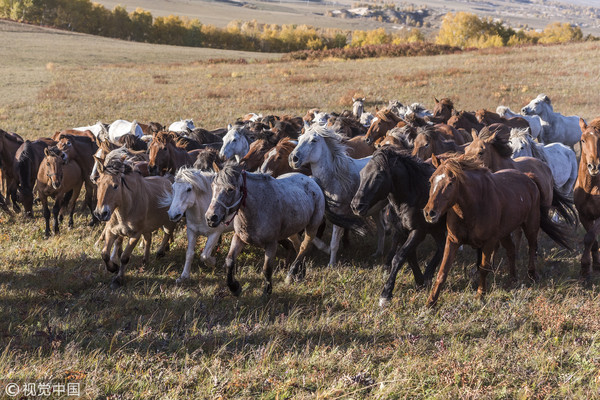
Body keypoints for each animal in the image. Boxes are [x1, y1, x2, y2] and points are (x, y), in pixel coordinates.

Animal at [92, 156, 175, 288]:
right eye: (98, 184)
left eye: (115, 186)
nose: (101, 213)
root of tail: (169, 181)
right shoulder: (111, 231)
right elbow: (104, 254)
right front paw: (113, 268)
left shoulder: (135, 234)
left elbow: (124, 257)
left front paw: (118, 279)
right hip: (147, 227)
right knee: (148, 239)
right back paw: (145, 261)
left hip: (168, 222)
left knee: (167, 233)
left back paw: (160, 252)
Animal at [206, 161, 328, 296]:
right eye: (212, 186)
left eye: (230, 189)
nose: (211, 218)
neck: (258, 208)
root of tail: (312, 180)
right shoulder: (239, 238)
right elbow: (229, 261)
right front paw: (235, 288)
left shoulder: (271, 244)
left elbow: (267, 268)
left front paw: (267, 292)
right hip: (292, 230)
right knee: (298, 245)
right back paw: (300, 273)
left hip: (312, 226)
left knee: (304, 247)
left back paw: (291, 274)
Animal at [288, 126, 386, 266]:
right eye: (300, 138)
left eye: (314, 140)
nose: (293, 159)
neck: (335, 178)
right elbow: (311, 236)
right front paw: (325, 249)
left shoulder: (340, 215)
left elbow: (334, 243)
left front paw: (331, 264)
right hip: (376, 210)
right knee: (382, 229)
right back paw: (378, 253)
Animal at [352, 148, 446, 308]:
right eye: (362, 173)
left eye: (378, 175)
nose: (356, 206)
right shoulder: (402, 231)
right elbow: (409, 256)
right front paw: (420, 281)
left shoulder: (418, 232)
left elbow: (399, 257)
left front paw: (386, 294)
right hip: (436, 229)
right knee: (441, 246)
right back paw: (428, 275)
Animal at [422, 155, 572, 308]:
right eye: (431, 180)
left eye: (451, 183)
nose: (429, 213)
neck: (473, 206)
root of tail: (529, 178)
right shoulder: (453, 240)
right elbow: (443, 271)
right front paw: (431, 302)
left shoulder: (489, 242)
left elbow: (483, 268)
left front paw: (480, 294)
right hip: (504, 233)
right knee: (511, 250)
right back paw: (512, 278)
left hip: (531, 225)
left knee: (532, 247)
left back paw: (531, 274)